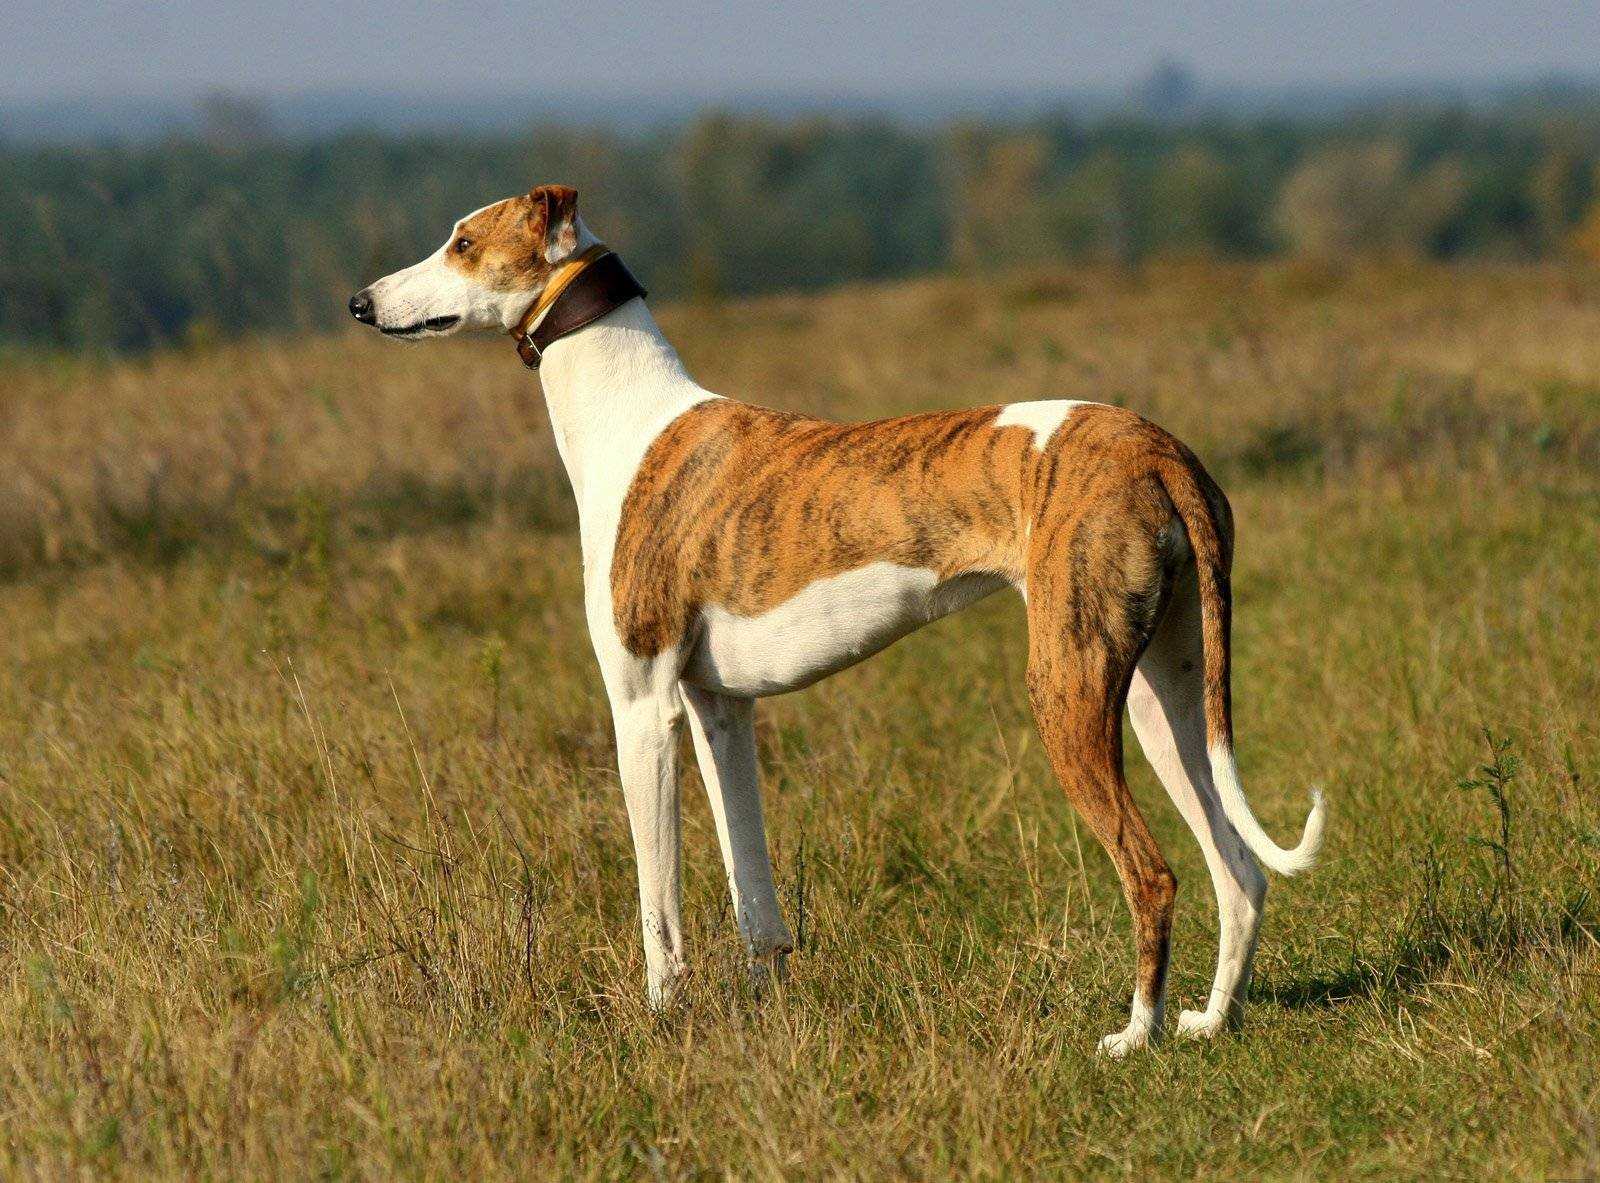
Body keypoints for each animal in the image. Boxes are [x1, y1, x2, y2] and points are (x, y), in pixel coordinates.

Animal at [350, 187, 1324, 1062]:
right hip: (1166, 698)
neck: (632, 415)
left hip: (1069, 690)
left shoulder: (643, 709)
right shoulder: (718, 711)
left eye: (462, 242)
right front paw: (764, 1006)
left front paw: (663, 1018)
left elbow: (657, 901)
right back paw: (1211, 1021)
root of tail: (1161, 449)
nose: (360, 301)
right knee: (1239, 870)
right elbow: (754, 893)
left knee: (1154, 874)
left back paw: (1136, 1035)